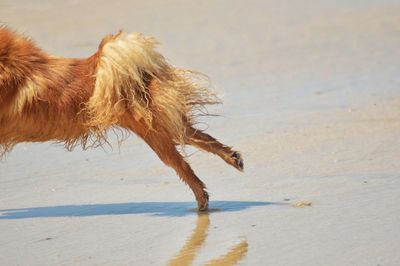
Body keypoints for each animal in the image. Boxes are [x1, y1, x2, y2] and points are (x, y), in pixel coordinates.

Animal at [0, 26, 242, 210]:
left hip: (155, 133)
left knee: (183, 164)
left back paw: (203, 200)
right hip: (162, 128)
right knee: (199, 138)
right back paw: (232, 159)